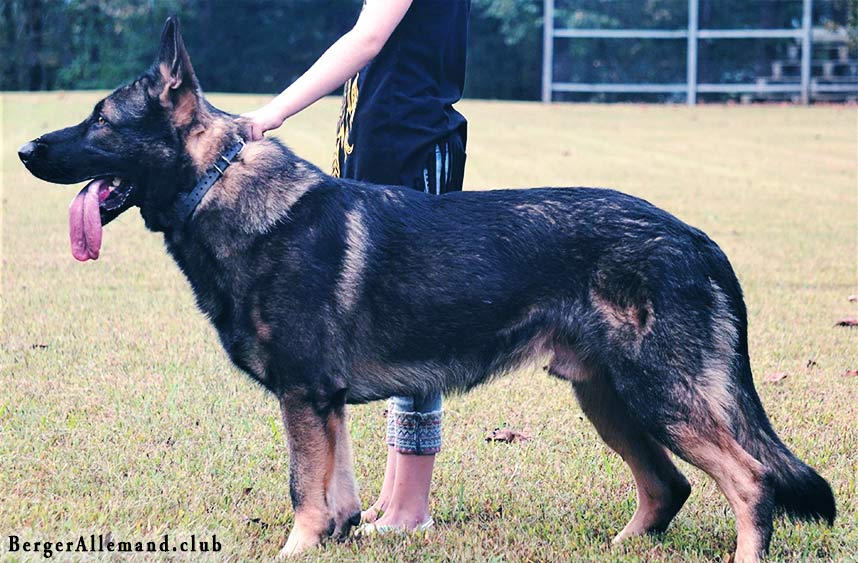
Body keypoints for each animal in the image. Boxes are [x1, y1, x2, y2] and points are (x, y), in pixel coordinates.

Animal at [20, 15, 828, 560]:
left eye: (101, 121)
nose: (24, 149)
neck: (219, 187)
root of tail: (692, 232)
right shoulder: (324, 404)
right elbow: (335, 498)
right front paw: (341, 537)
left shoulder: (304, 397)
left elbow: (303, 491)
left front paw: (296, 549)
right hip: (610, 397)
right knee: (669, 486)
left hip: (660, 396)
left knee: (751, 481)